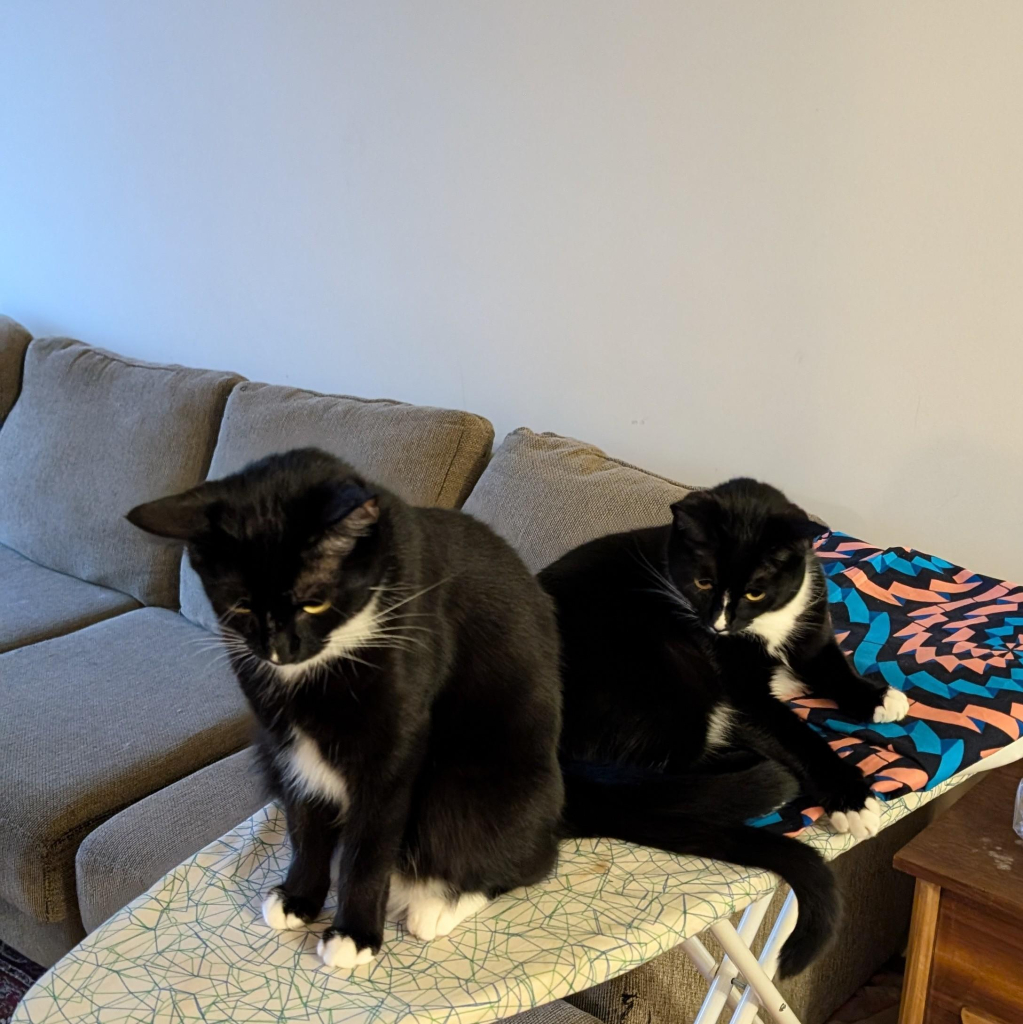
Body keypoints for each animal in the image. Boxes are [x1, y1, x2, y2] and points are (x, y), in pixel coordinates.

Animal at [544, 477, 913, 974]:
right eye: (702, 582)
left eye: (755, 591)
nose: (717, 625)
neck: (767, 627)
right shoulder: (742, 694)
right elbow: (799, 735)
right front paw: (850, 797)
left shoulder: (811, 631)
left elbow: (834, 667)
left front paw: (876, 697)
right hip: (672, 673)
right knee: (660, 768)